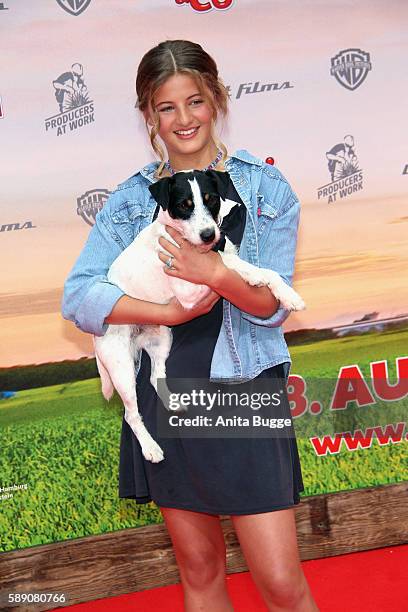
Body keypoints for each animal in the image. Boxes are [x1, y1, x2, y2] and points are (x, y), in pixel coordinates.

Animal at [94, 170, 304, 462]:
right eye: (184, 205)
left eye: (211, 199)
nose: (208, 235)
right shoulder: (188, 288)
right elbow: (229, 264)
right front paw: (254, 275)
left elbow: (252, 267)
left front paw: (287, 294)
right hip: (121, 366)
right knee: (130, 414)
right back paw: (150, 448)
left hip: (163, 338)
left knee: (154, 376)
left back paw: (172, 404)